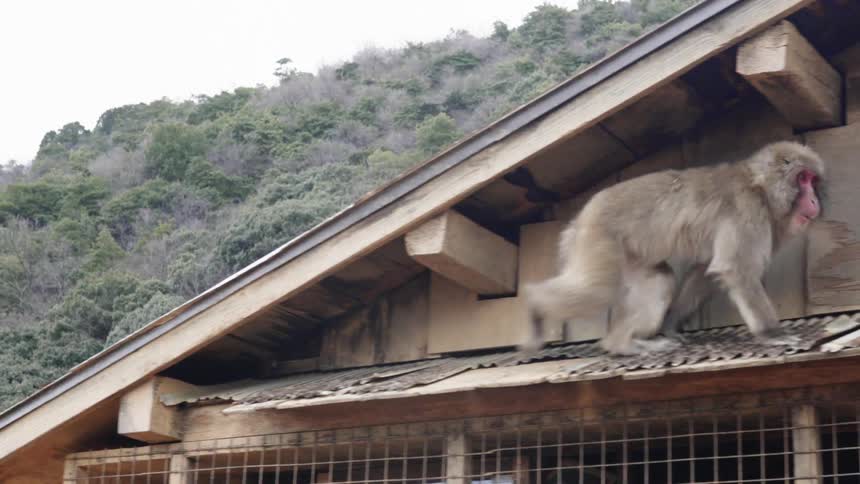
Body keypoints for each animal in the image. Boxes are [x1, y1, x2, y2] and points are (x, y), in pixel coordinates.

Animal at [521, 141, 826, 356]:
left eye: (812, 180)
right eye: (803, 179)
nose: (814, 200)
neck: (760, 188)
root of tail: (580, 219)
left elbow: (705, 270)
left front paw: (670, 324)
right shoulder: (748, 211)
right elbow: (735, 269)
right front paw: (772, 333)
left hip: (630, 254)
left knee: (659, 278)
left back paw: (620, 344)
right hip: (598, 236)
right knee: (597, 291)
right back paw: (535, 306)